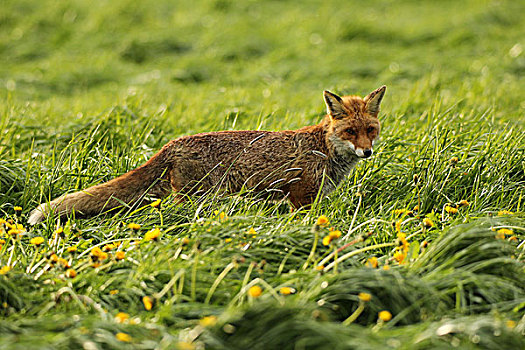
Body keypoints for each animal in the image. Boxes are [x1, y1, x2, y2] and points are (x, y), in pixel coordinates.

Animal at [27, 86, 384, 226]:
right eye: (350, 132)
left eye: (370, 130)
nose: (366, 152)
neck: (324, 149)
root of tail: (173, 142)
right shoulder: (301, 197)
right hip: (195, 199)